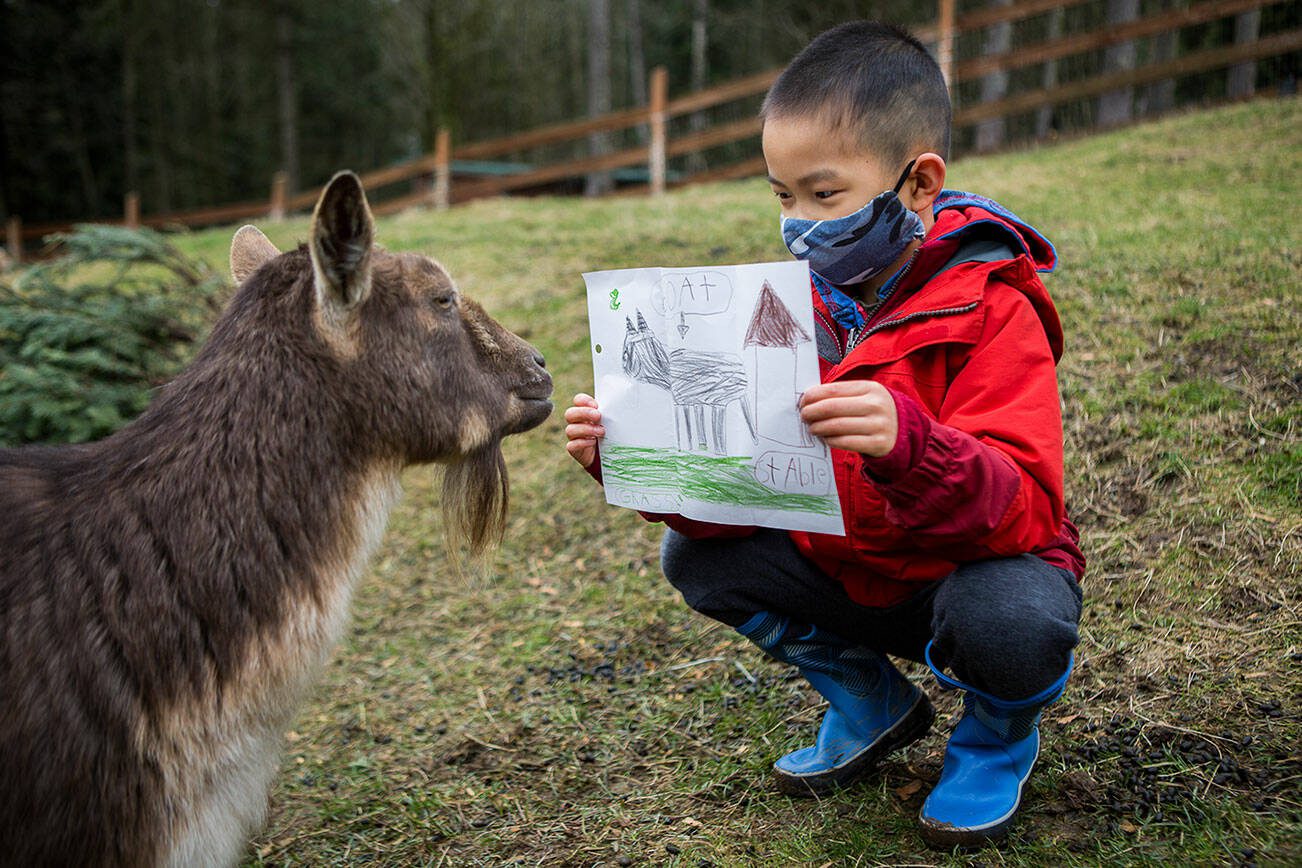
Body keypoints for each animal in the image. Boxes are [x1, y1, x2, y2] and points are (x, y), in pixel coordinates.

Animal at [619, 307, 755, 455]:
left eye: (625, 352)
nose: (623, 367)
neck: (666, 372)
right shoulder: (690, 401)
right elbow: (691, 424)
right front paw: (698, 448)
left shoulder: (689, 402)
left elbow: (682, 426)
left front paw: (684, 450)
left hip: (723, 400)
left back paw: (723, 453)